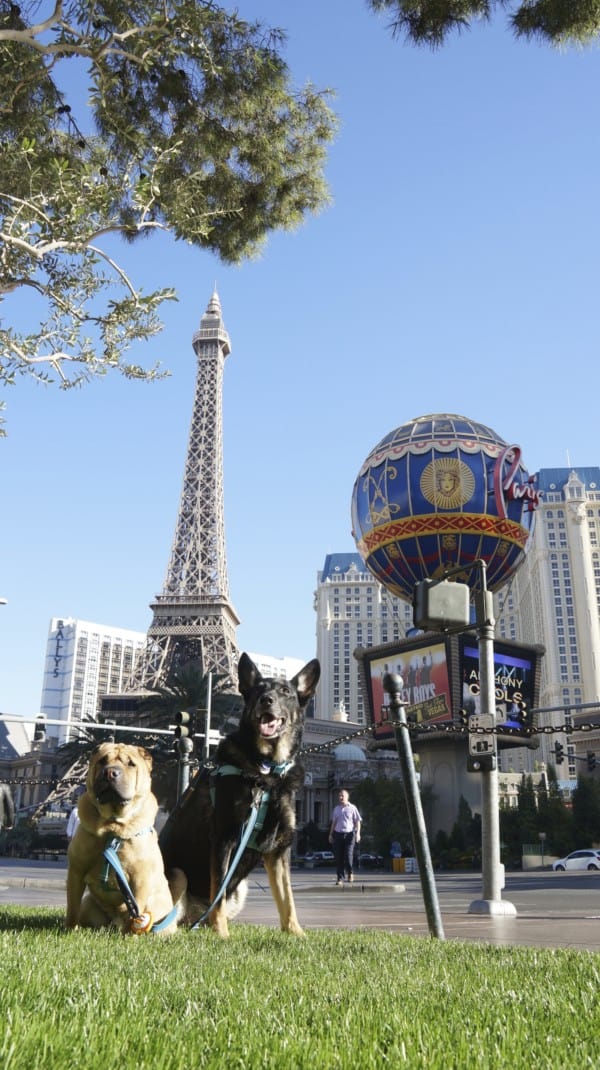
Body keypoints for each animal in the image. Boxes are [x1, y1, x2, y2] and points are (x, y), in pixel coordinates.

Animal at [66, 744, 177, 937]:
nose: (110, 772)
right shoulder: (76, 871)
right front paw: (71, 930)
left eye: (131, 764)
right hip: (89, 904)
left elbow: (136, 913)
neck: (112, 827)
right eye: (102, 761)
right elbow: (72, 906)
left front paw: (130, 936)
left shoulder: (140, 879)